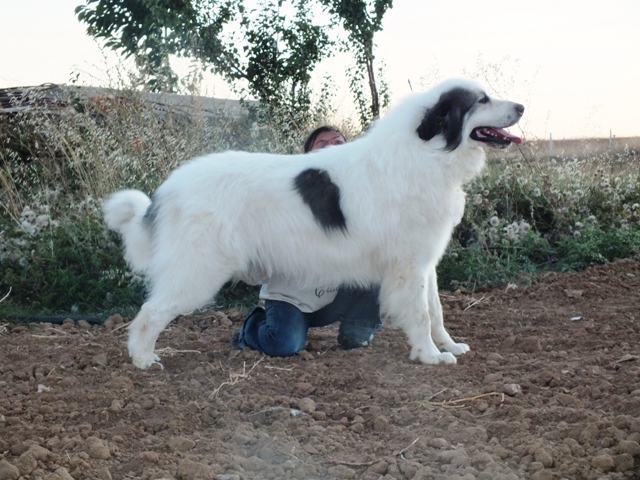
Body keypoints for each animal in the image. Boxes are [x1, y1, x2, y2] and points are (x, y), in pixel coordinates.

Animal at [105, 78, 524, 368]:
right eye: (481, 100)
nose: (521, 106)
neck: (427, 154)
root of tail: (166, 191)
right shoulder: (409, 267)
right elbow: (421, 315)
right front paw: (429, 356)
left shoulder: (425, 262)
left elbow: (436, 312)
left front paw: (448, 345)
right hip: (198, 271)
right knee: (148, 313)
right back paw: (143, 359)